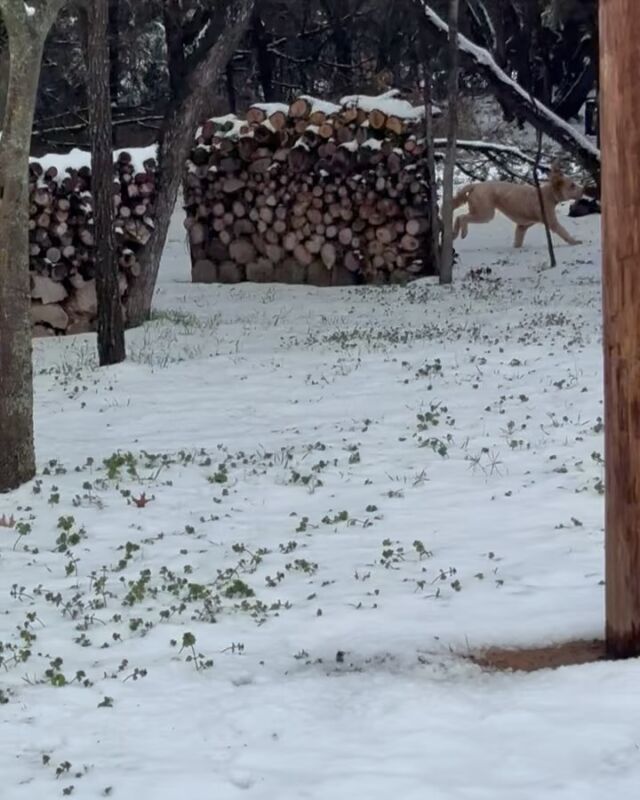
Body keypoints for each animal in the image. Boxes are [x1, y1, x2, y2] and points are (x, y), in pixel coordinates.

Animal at [452, 162, 584, 247]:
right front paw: (575, 242)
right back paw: (463, 233)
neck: (548, 195)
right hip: (485, 213)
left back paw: (454, 234)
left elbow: (518, 241)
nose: (583, 190)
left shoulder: (522, 226)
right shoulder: (552, 222)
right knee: (462, 217)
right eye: (572, 185)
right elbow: (563, 231)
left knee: (458, 217)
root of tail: (476, 185)